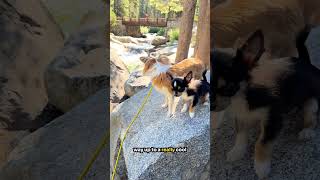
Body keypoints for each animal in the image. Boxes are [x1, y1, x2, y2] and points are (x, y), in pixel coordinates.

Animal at [211, 27, 318, 179]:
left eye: (229, 88)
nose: (211, 105)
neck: (242, 96)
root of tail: (306, 62)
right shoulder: (242, 116)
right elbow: (241, 135)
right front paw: (237, 151)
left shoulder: (272, 120)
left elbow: (261, 143)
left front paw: (261, 167)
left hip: (312, 103)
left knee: (311, 117)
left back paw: (307, 131)